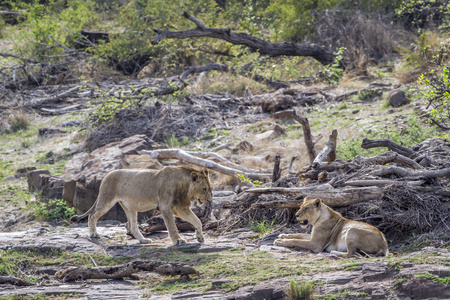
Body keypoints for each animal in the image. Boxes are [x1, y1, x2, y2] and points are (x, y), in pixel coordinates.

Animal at [70, 165, 213, 245]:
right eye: (204, 189)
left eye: (210, 188)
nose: (210, 199)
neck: (184, 186)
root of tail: (106, 175)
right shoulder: (165, 206)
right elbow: (172, 226)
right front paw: (178, 240)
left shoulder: (180, 207)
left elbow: (197, 220)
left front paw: (200, 237)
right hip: (106, 200)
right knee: (92, 216)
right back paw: (93, 234)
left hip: (130, 207)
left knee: (132, 226)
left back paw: (143, 240)